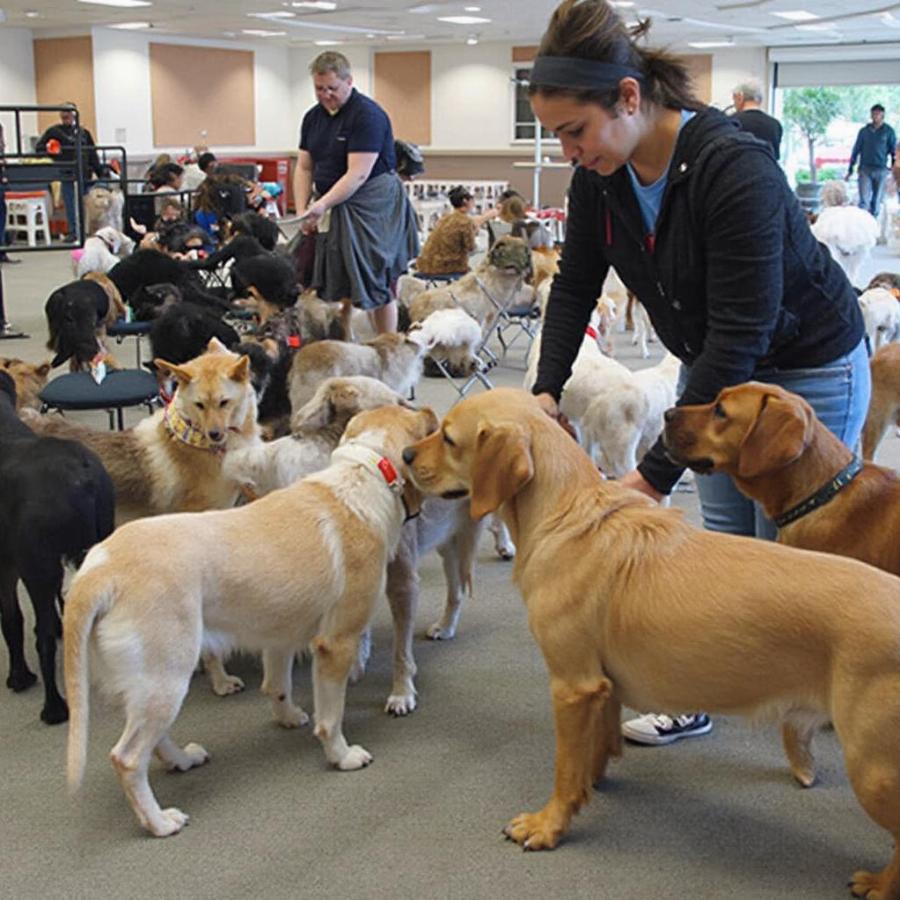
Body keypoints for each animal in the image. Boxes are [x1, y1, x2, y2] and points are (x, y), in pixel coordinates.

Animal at [0, 372, 116, 724]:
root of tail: (83, 477)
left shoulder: (10, 567)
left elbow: (11, 620)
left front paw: (18, 677)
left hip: (37, 566)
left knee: (43, 636)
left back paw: (53, 707)